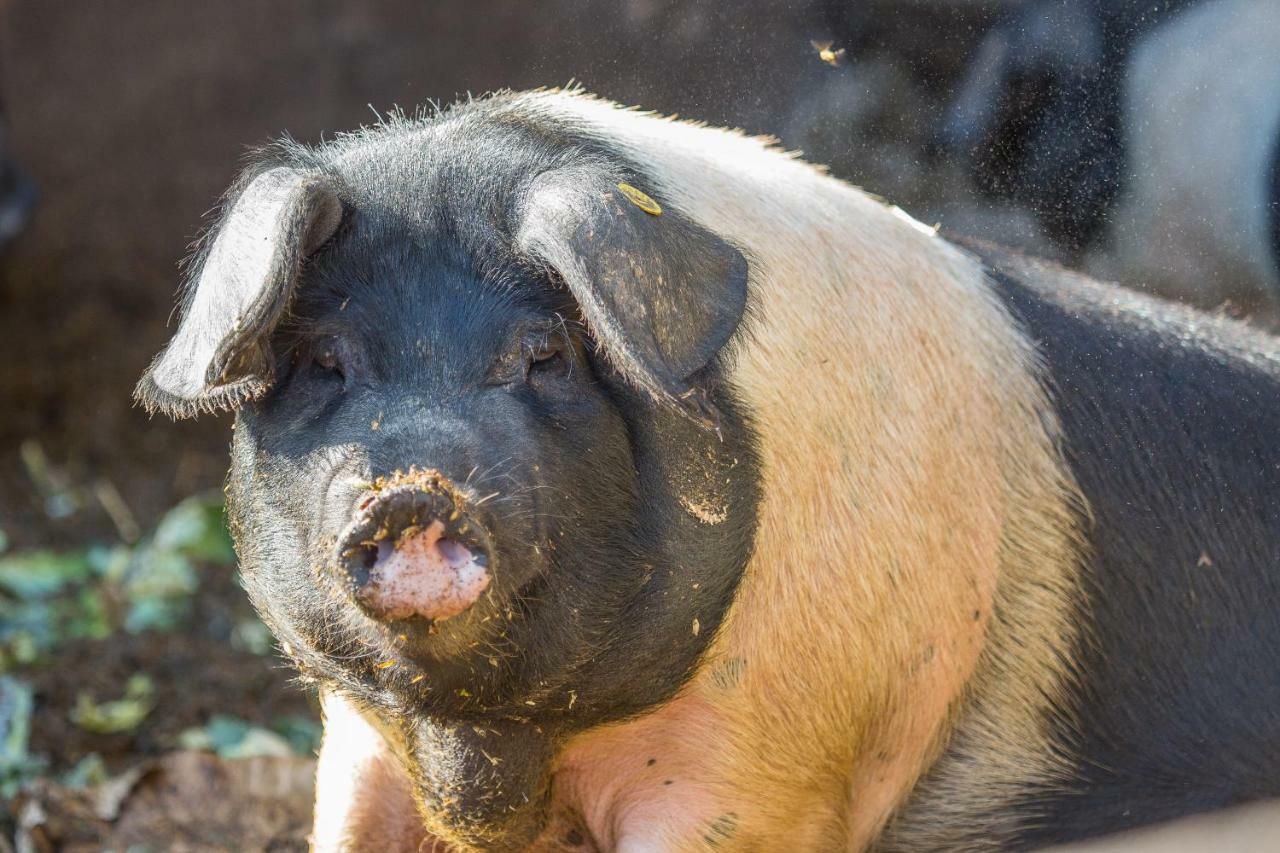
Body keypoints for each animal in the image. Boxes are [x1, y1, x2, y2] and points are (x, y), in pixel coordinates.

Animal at [135, 89, 1280, 845]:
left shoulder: (765, 764)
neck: (494, 745)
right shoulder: (358, 737)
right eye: (325, 360)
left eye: (543, 354)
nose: (412, 484)